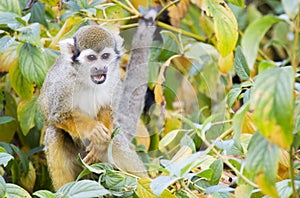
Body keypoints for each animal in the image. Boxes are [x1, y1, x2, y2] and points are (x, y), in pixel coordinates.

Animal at [38, 25, 123, 190]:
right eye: (91, 58)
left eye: (105, 56)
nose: (100, 67)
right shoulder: (64, 82)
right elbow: (58, 115)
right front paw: (94, 129)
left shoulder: (114, 75)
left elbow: (107, 108)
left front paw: (99, 145)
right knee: (54, 133)